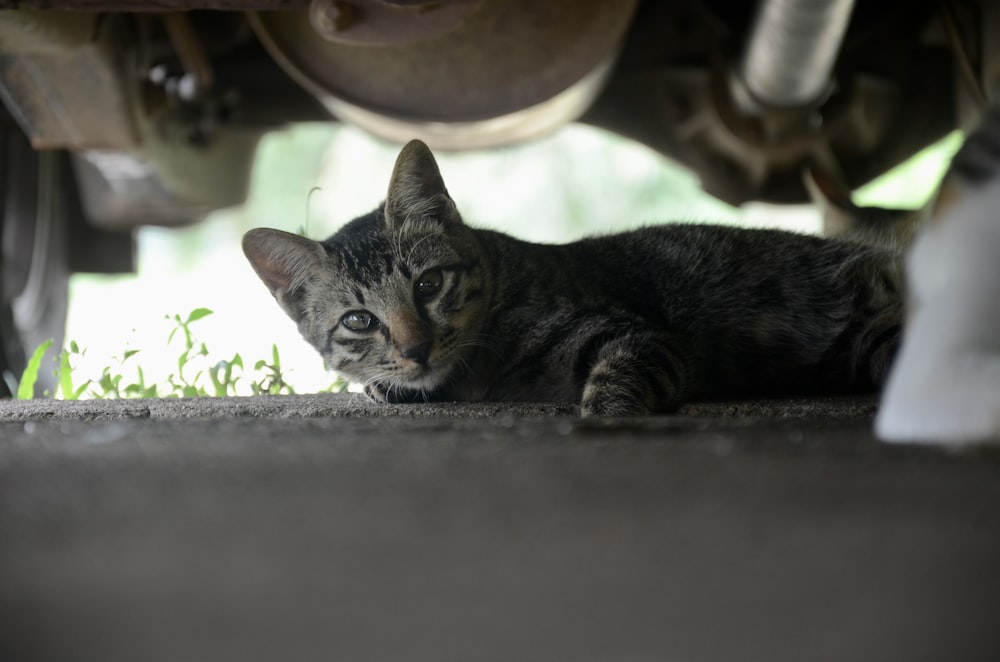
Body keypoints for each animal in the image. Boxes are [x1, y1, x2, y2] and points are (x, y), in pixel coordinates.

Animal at [244, 139, 908, 418]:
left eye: (428, 285)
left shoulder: (638, 336)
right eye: (359, 320)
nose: (416, 348)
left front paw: (602, 418)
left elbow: (613, 388)